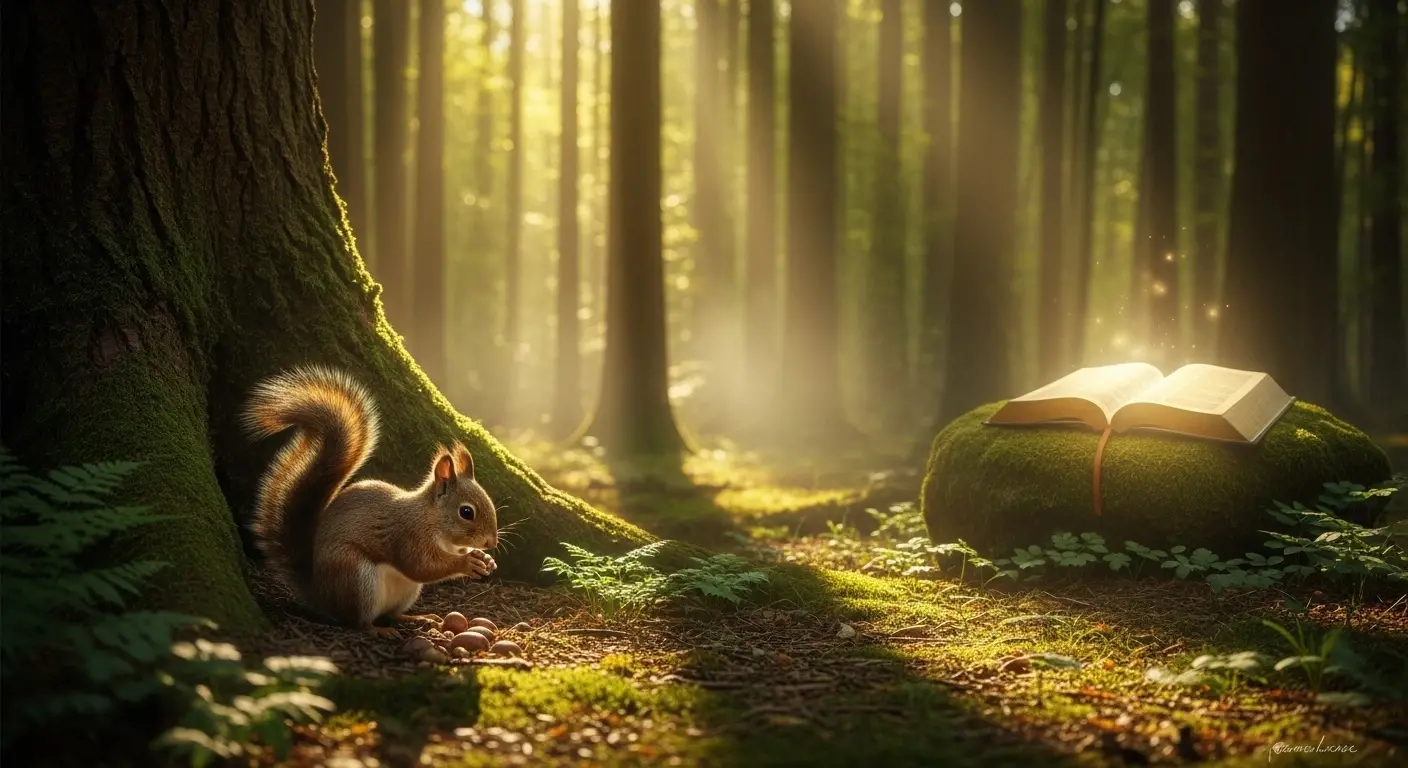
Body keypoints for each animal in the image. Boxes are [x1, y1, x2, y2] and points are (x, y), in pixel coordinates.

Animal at [242, 365, 499, 636]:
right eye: (466, 512)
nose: (491, 542)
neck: (432, 519)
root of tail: (321, 593)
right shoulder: (408, 535)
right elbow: (421, 566)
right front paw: (466, 562)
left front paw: (485, 559)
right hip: (357, 578)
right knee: (357, 621)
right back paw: (378, 629)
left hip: (406, 591)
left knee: (392, 614)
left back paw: (416, 618)